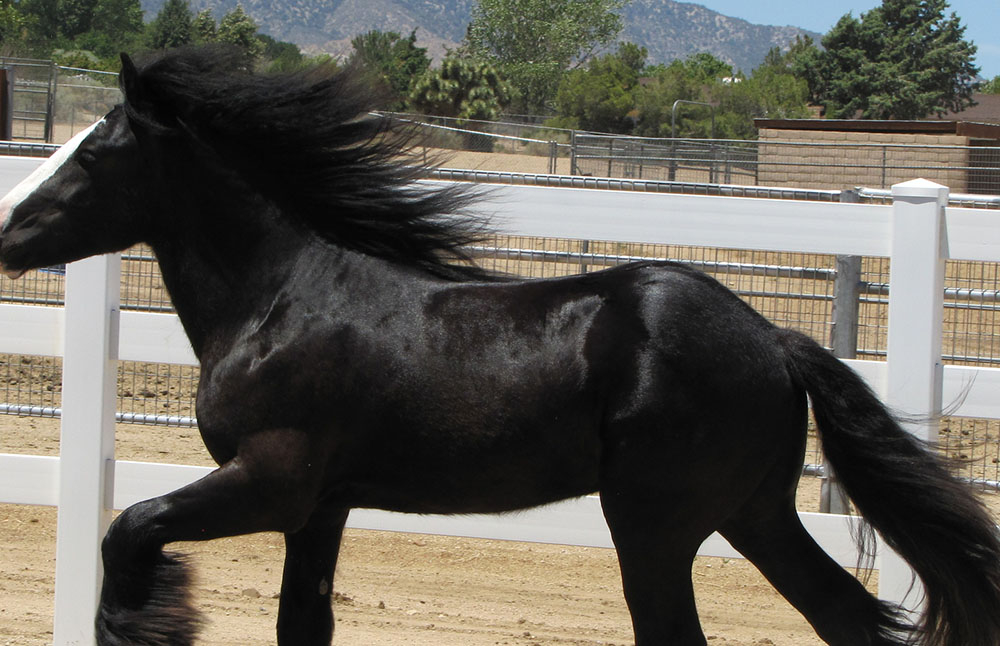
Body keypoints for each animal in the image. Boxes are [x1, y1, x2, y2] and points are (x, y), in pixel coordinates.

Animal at [1, 46, 999, 646]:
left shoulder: (270, 480)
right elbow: (299, 625)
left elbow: (130, 528)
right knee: (848, 618)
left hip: (657, 525)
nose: (7, 234)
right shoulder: (320, 508)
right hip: (754, 513)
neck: (280, 301)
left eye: (90, 154)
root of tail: (775, 339)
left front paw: (146, 621)